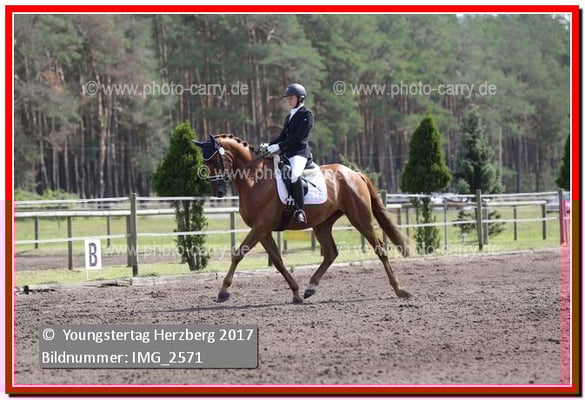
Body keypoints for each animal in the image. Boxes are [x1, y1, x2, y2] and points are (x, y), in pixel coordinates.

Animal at [194, 134, 412, 304]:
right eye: (205, 163)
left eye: (215, 161)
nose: (218, 192)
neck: (255, 179)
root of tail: (354, 173)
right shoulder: (263, 230)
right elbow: (278, 261)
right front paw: (296, 293)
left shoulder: (261, 226)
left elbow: (239, 253)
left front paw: (223, 292)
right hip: (322, 224)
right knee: (331, 253)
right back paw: (310, 287)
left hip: (360, 218)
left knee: (380, 248)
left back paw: (400, 290)